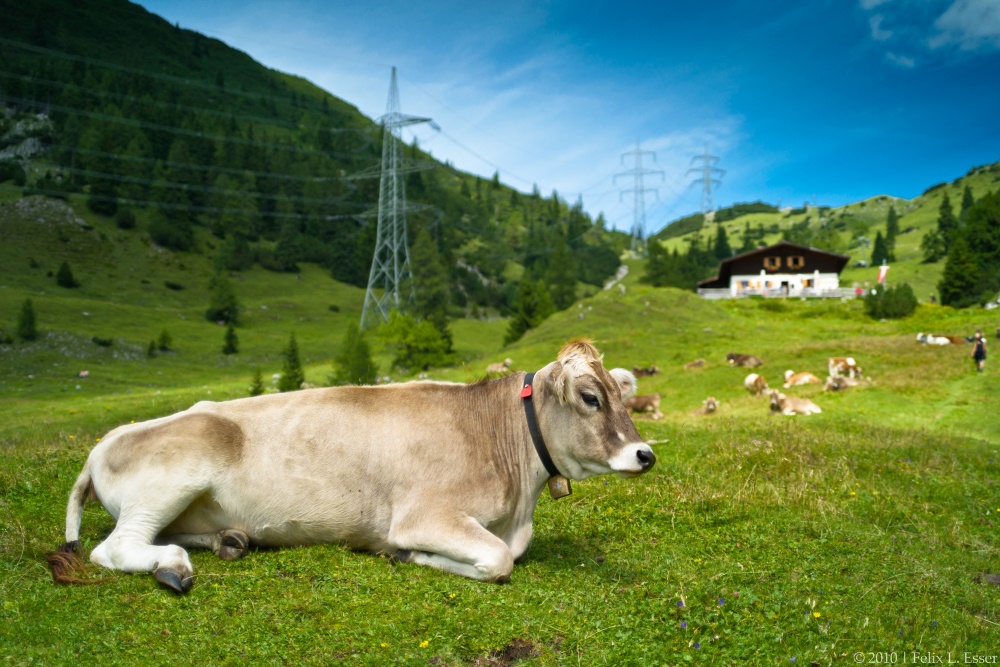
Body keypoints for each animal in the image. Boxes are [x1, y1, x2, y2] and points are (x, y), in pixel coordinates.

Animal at [47, 340, 656, 594]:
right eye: (589, 398)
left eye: (621, 396)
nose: (645, 454)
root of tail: (104, 443)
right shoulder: (424, 515)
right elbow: (499, 559)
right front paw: (411, 556)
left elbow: (509, 551)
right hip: (173, 475)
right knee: (113, 548)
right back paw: (173, 566)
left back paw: (228, 541)